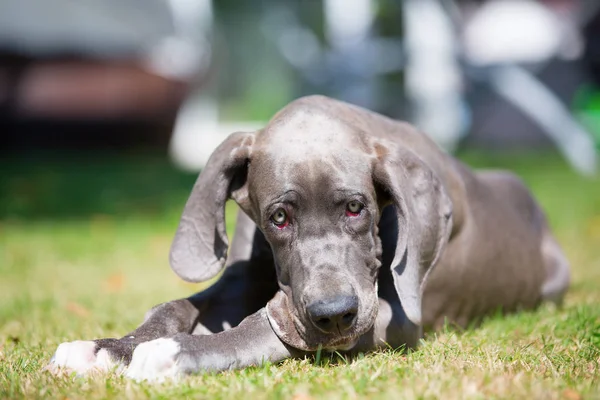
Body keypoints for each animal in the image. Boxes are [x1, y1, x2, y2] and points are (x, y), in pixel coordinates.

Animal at [47, 94, 568, 382]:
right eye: (279, 218)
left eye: (356, 208)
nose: (334, 314)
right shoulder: (241, 280)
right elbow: (175, 306)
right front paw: (109, 346)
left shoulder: (395, 318)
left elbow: (268, 326)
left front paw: (176, 351)